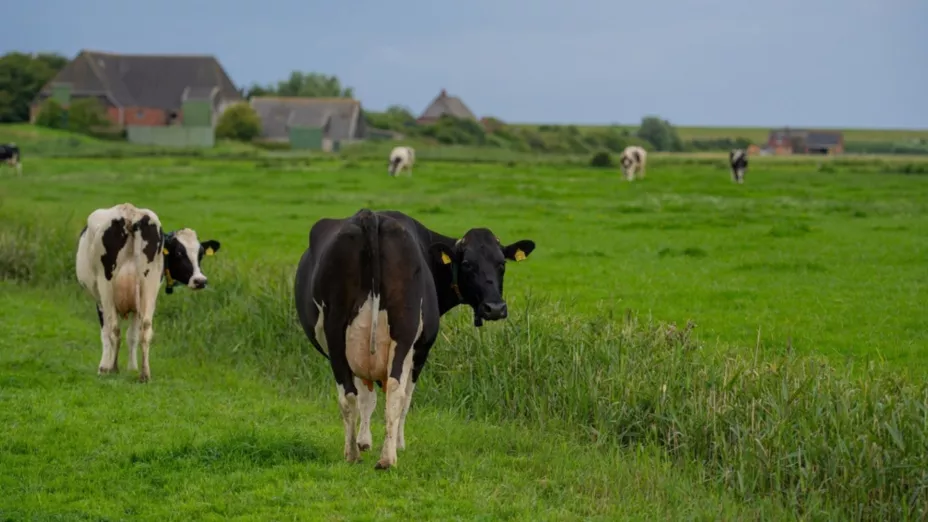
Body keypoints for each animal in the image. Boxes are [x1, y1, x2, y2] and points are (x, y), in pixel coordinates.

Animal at [75, 203, 221, 382]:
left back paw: (114, 368)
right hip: (149, 285)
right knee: (145, 327)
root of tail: (131, 214)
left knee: (114, 328)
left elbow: (107, 333)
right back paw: (144, 374)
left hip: (107, 285)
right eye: (179, 253)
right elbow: (132, 335)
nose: (200, 280)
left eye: (200, 254)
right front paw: (132, 368)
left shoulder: (100, 301)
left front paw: (104, 367)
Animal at [294, 209, 535, 469]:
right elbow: (402, 398)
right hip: (403, 331)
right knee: (396, 392)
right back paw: (386, 457)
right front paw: (394, 443)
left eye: (502, 264)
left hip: (338, 336)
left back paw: (356, 454)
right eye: (467, 264)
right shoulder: (421, 350)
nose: (495, 308)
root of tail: (369, 216)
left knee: (349, 395)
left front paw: (364, 440)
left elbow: (366, 397)